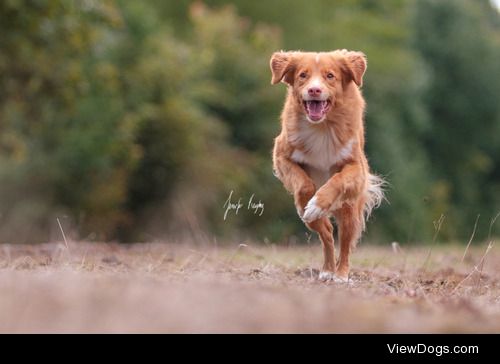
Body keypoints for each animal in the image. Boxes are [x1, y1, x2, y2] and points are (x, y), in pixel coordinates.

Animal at [270, 49, 382, 282]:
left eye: (330, 76)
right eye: (303, 75)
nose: (314, 89)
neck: (321, 127)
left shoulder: (356, 168)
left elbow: (337, 180)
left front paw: (318, 203)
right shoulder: (282, 156)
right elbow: (304, 185)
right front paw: (310, 204)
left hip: (350, 212)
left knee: (345, 243)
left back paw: (340, 274)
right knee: (328, 234)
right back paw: (327, 268)